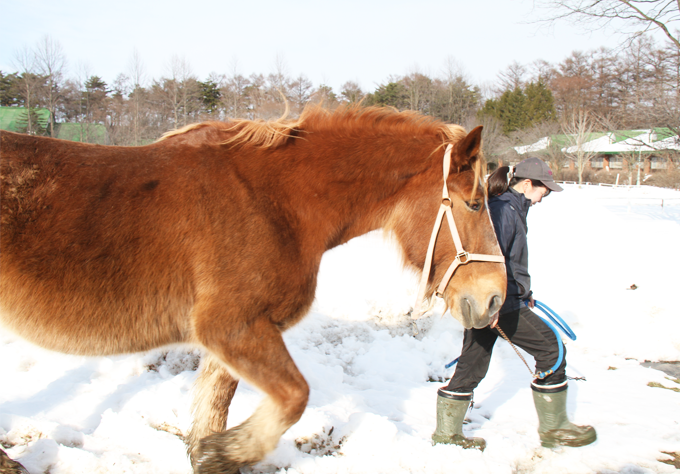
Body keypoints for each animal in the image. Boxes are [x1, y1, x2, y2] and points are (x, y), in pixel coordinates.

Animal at [0, 105, 508, 472]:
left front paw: (214, 454)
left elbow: (211, 419)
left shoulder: (229, 342)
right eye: (475, 203)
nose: (494, 298)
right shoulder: (233, 328)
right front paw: (226, 450)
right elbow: (293, 398)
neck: (272, 202)